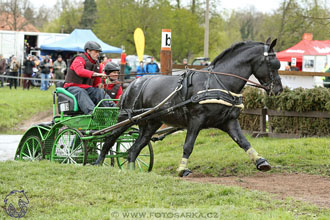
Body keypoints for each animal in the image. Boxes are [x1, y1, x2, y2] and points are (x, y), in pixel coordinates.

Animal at [94, 37, 282, 176]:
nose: (278, 90)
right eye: (274, 64)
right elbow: (188, 145)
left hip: (151, 124)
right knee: (109, 138)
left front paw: (261, 161)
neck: (218, 83)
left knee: (134, 150)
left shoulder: (228, 121)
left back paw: (131, 171)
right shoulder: (196, 120)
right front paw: (182, 169)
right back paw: (97, 162)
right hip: (125, 118)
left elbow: (243, 142)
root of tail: (133, 83)